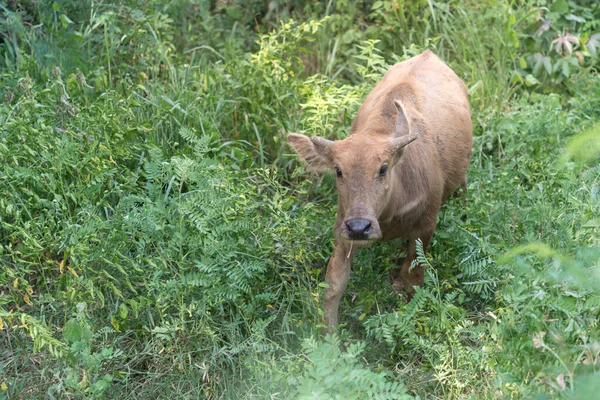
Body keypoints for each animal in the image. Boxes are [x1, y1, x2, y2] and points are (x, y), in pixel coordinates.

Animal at [288, 50, 472, 328]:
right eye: (338, 170)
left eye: (383, 168)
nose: (360, 227)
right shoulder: (342, 227)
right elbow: (334, 285)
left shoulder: (426, 226)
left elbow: (412, 279)